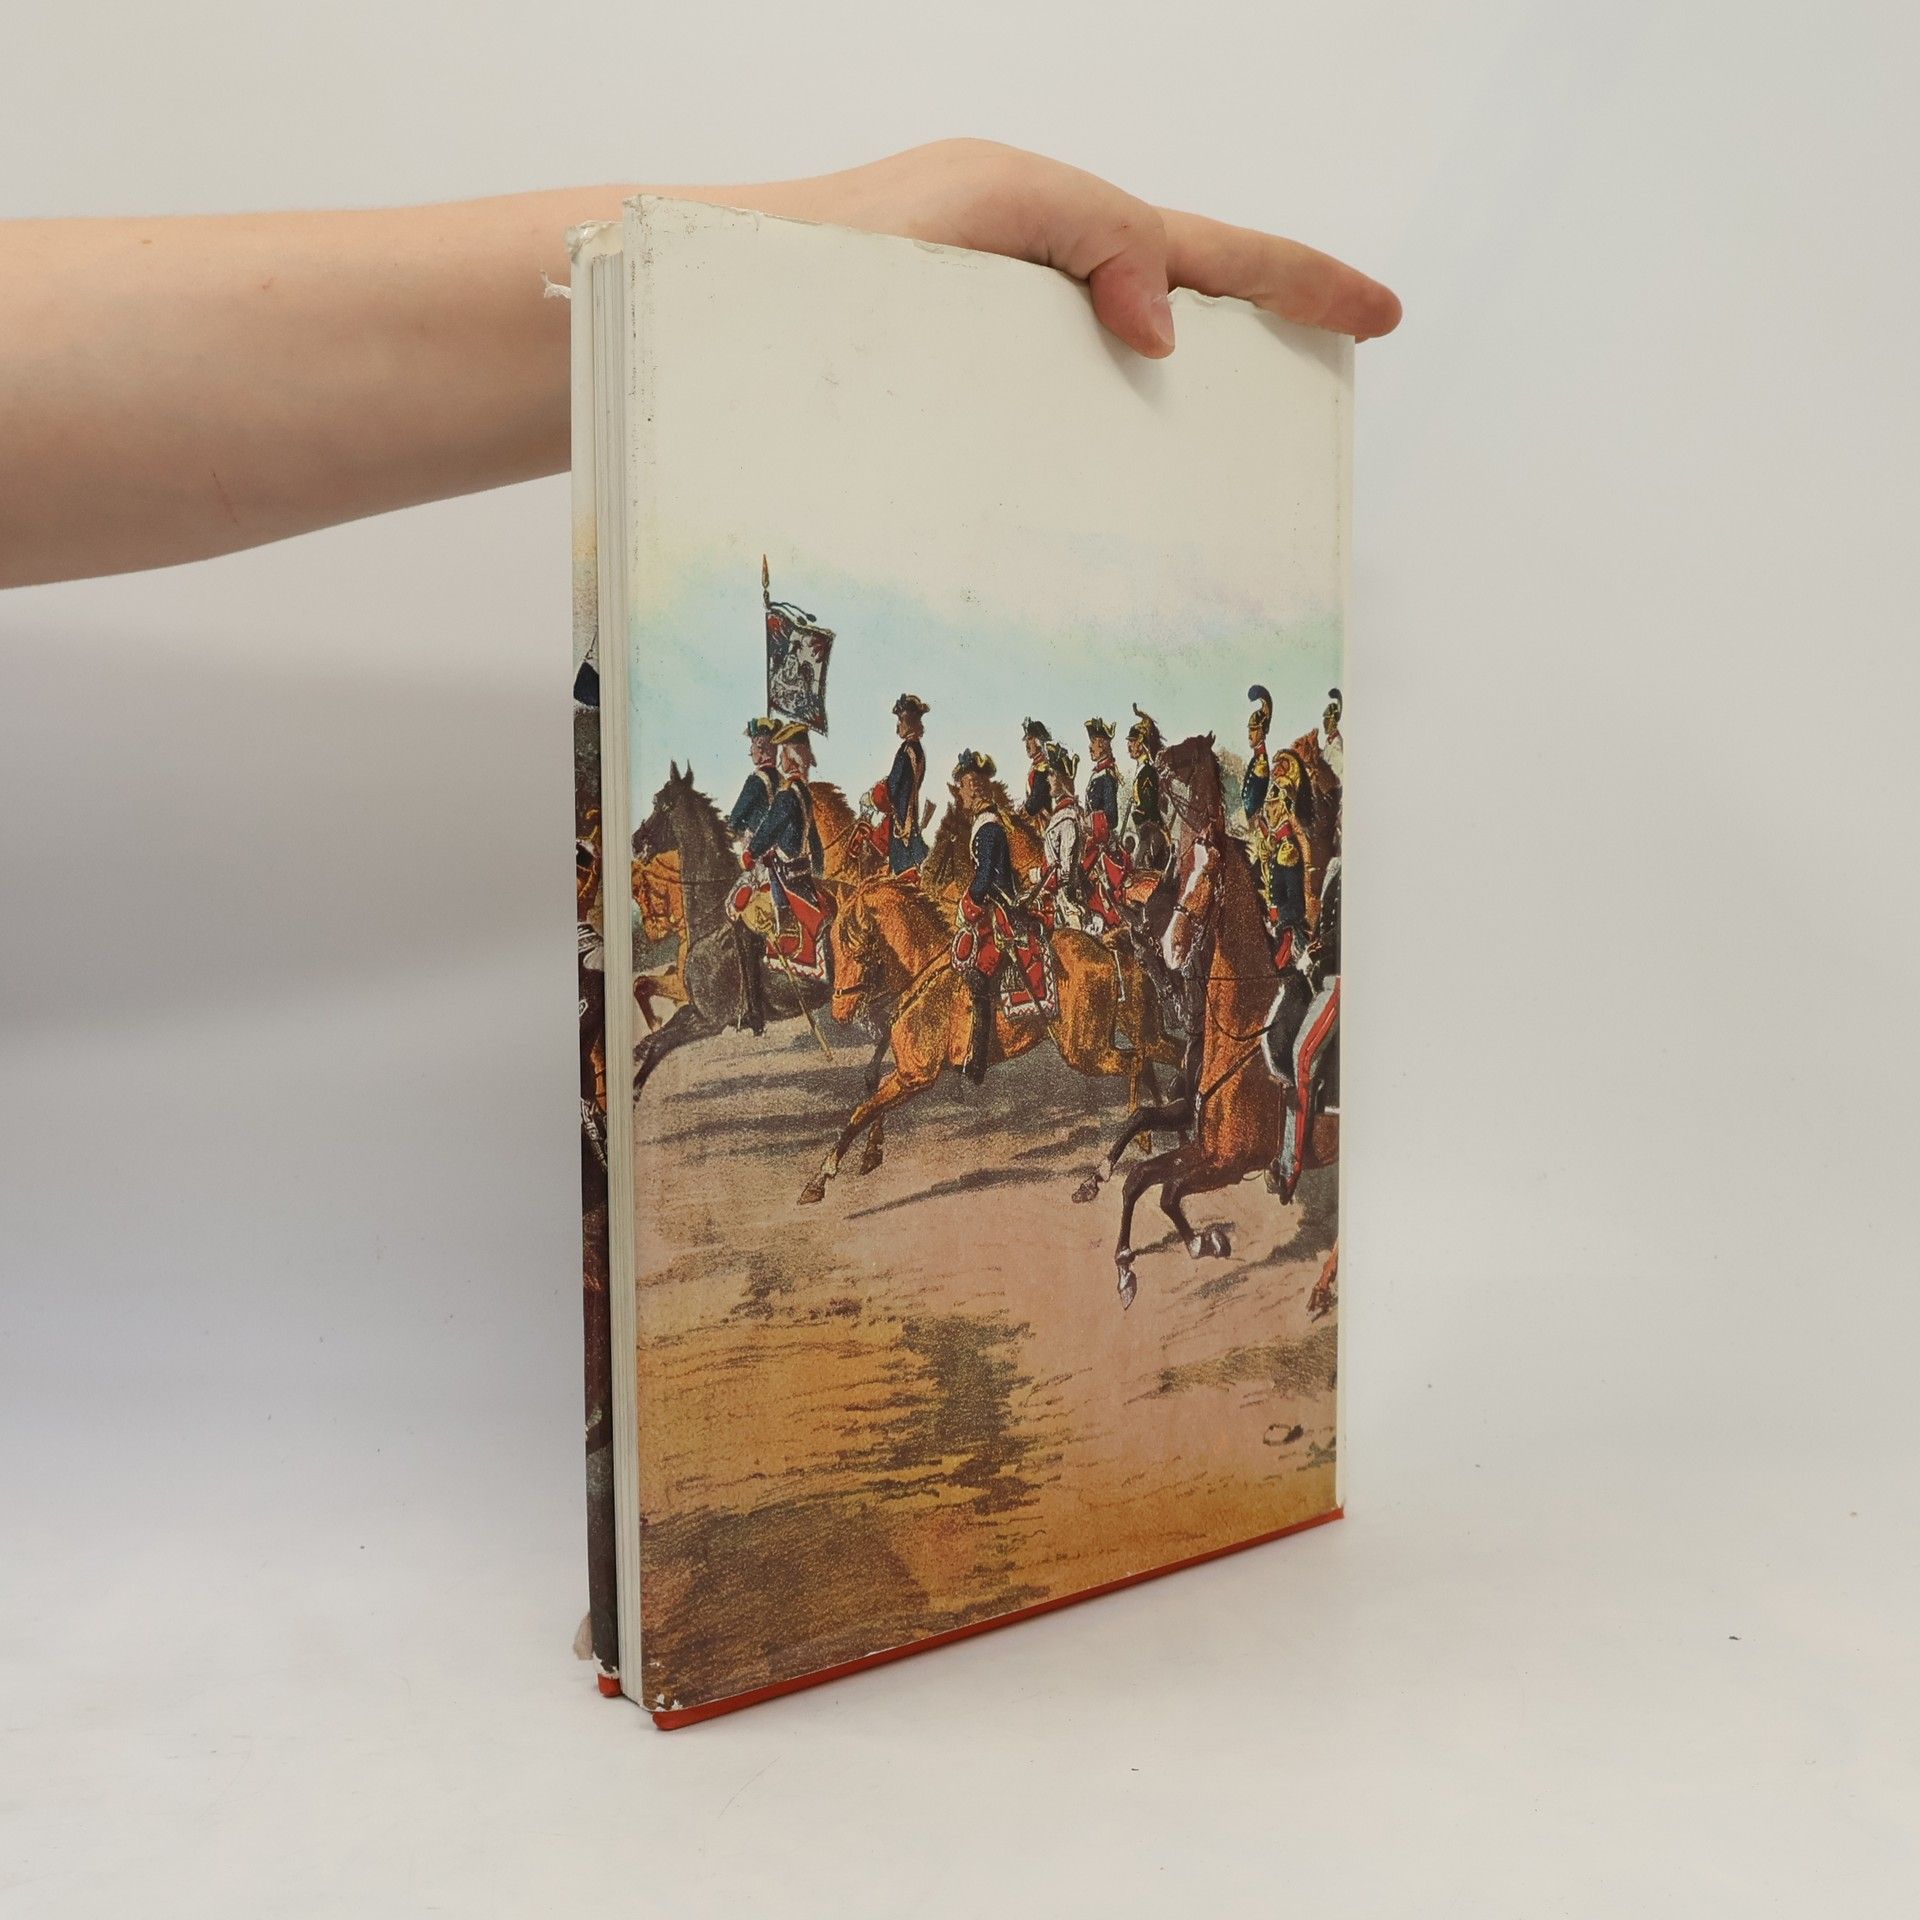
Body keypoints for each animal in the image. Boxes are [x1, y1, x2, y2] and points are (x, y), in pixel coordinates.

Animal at [796, 871, 1181, 1206]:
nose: (839, 1013)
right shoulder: (909, 1074)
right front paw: (872, 1152)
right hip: (1135, 1034)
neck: (927, 968)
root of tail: (1105, 946)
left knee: (1135, 1061)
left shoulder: (916, 1077)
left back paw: (1117, 1157)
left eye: (854, 946)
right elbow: (875, 1097)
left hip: (1085, 1051)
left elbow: (862, 1110)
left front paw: (820, 1178)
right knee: (1160, 1056)